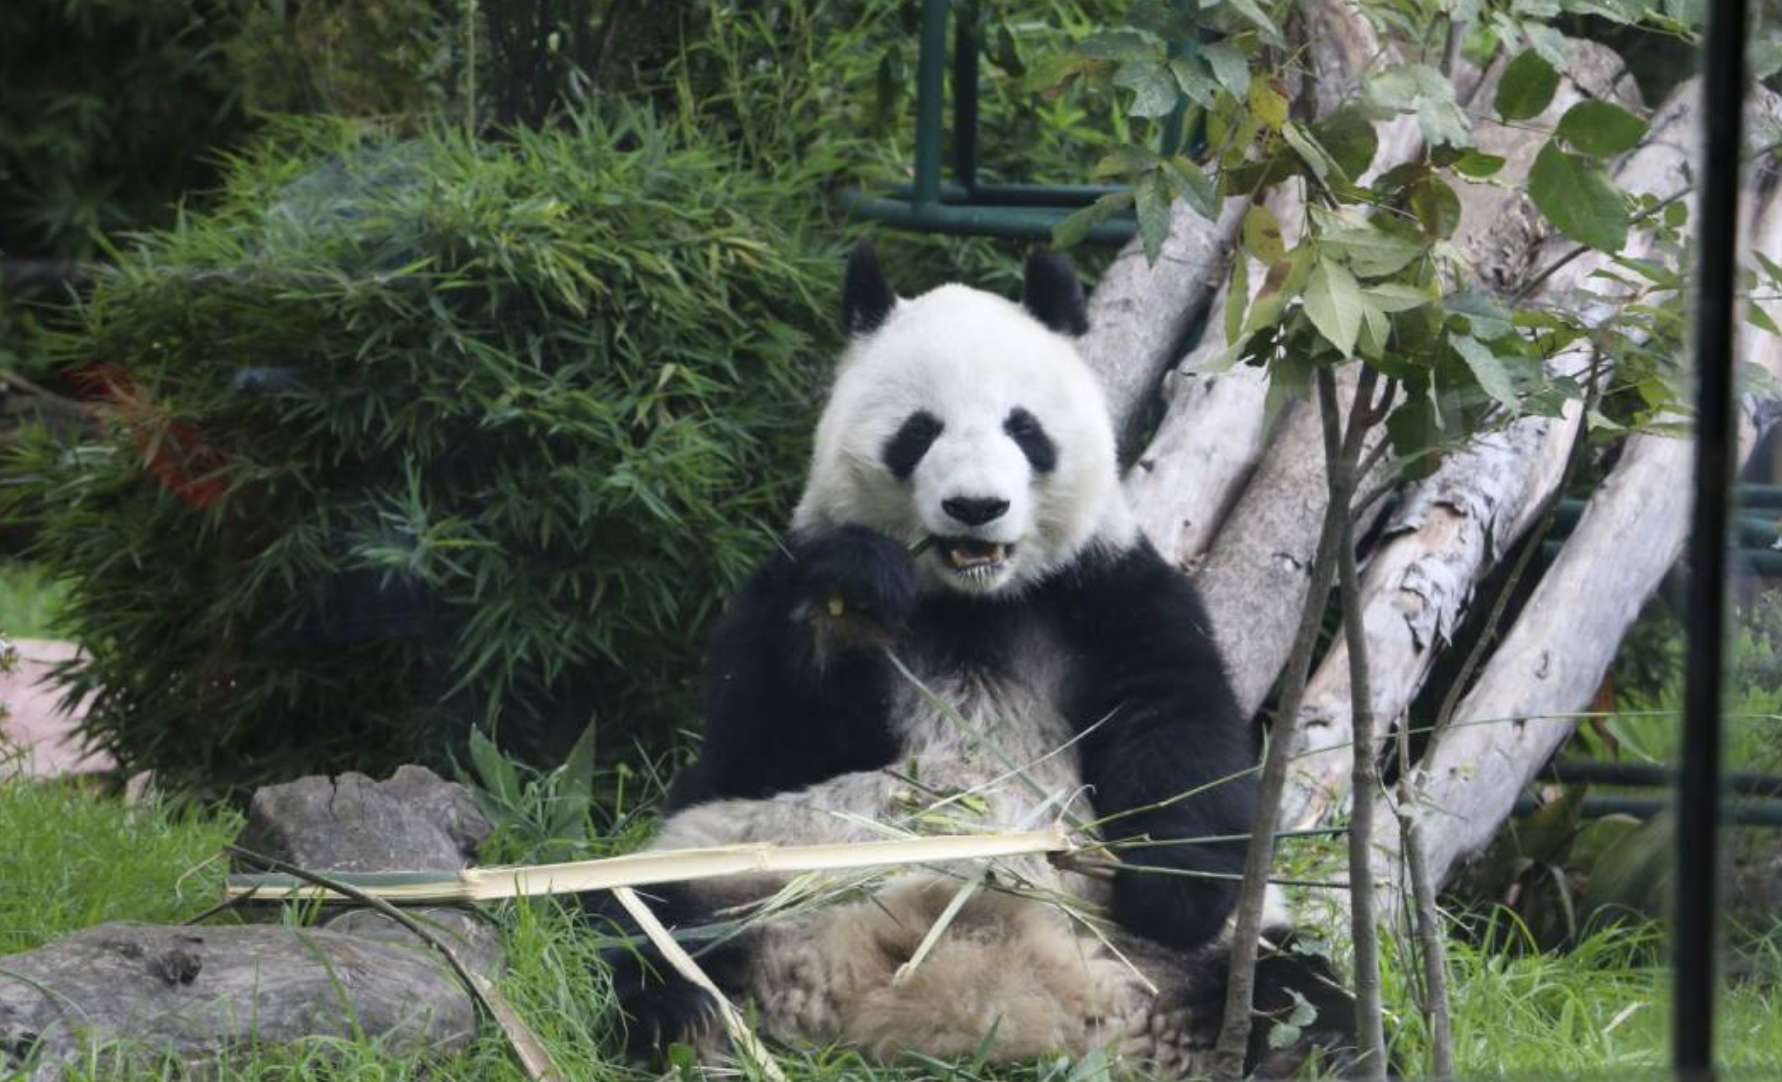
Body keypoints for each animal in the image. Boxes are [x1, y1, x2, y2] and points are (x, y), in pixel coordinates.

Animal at [591, 240, 1354, 1076]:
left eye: (1024, 428)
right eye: (919, 431)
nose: (976, 508)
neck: (971, 602)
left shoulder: (1110, 589)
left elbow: (1182, 726)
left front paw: (1172, 886)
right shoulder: (785, 583)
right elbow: (760, 741)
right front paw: (858, 591)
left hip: (1176, 957)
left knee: (1300, 991)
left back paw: (1293, 1045)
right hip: (740, 868)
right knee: (635, 928)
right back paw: (683, 1016)